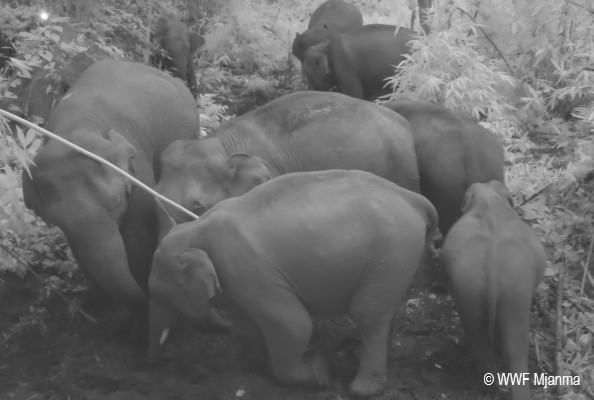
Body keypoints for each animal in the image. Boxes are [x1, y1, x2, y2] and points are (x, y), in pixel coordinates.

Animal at [22, 61, 200, 314]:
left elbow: (137, 239)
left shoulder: (139, 171)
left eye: (117, 201)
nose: (146, 300)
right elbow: (82, 254)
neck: (78, 128)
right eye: (56, 220)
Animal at [148, 170, 434, 398]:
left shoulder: (246, 267)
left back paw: (361, 389)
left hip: (392, 252)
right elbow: (257, 323)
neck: (195, 227)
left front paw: (320, 373)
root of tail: (414, 199)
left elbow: (293, 325)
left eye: (160, 292)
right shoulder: (244, 281)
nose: (155, 365)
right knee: (384, 311)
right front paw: (258, 366)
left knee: (367, 313)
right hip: (394, 262)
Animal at [438, 181, 544, 400]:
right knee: (515, 346)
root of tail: (492, 263)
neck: (489, 200)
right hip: (516, 289)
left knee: (476, 334)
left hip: (467, 286)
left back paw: (489, 387)